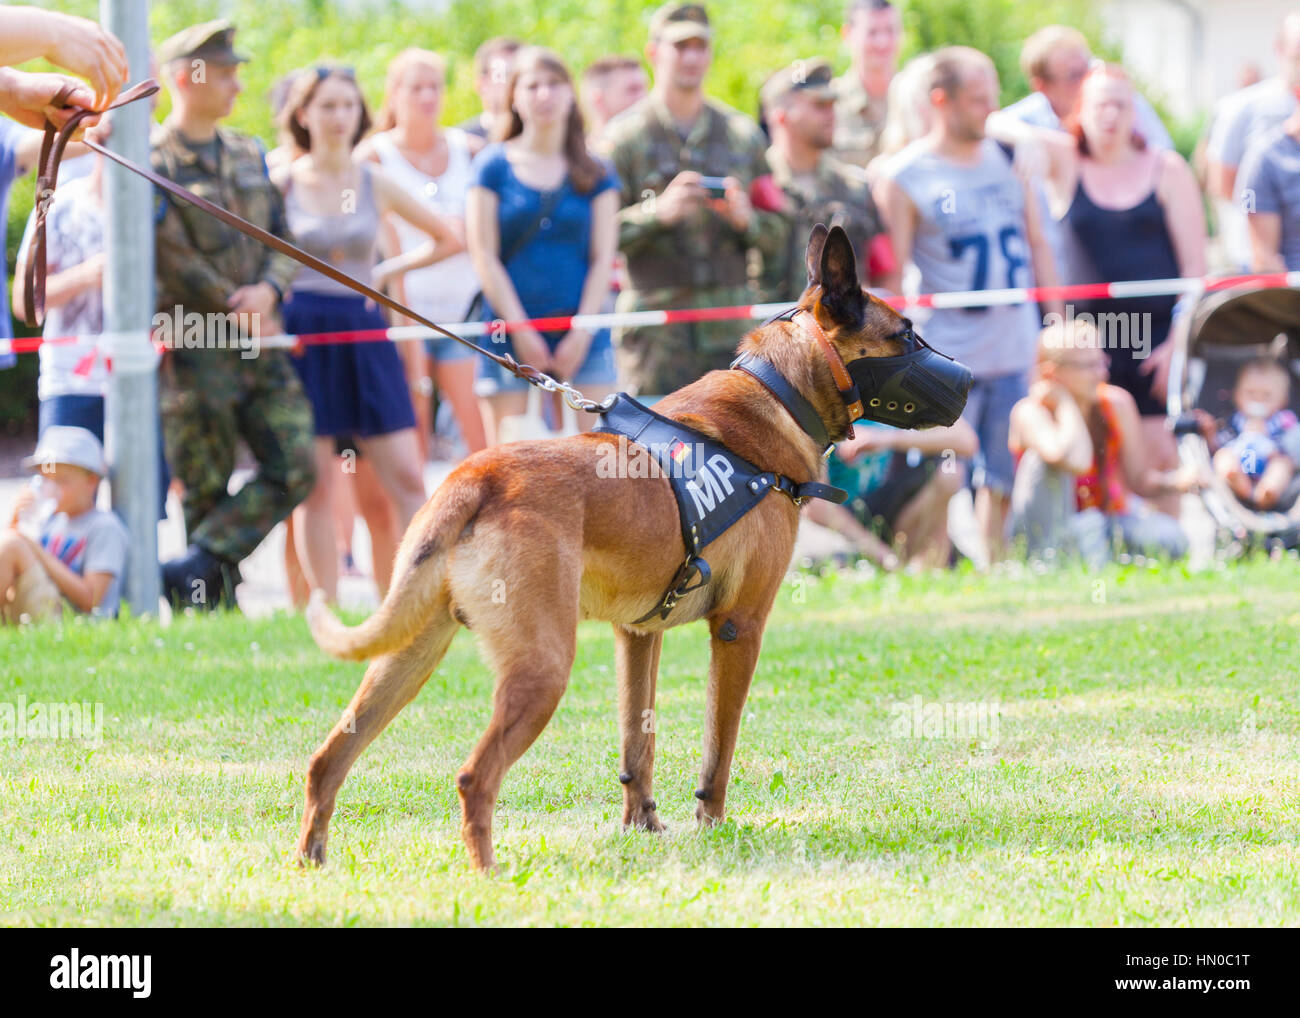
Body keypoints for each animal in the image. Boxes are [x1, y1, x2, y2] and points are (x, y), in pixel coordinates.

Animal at [297, 227, 967, 873]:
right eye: (906, 335)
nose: (970, 380)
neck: (779, 391)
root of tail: (475, 476)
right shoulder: (739, 629)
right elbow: (718, 749)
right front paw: (711, 828)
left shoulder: (639, 635)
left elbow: (636, 745)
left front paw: (640, 826)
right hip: (541, 669)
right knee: (473, 777)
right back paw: (488, 876)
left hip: (408, 657)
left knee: (327, 759)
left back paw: (311, 861)